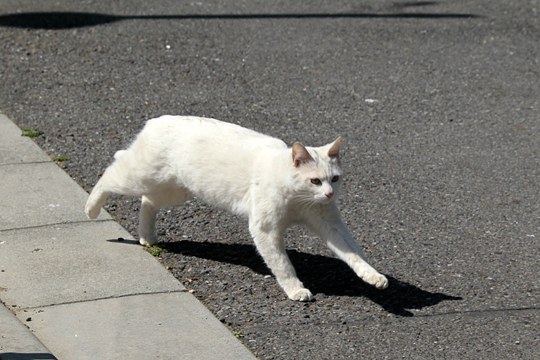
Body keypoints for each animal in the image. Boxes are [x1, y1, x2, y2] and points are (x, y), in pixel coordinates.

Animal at [85, 116, 388, 300]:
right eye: (315, 180)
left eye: (335, 178)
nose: (329, 194)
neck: (299, 198)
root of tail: (157, 120)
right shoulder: (265, 229)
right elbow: (282, 265)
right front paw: (295, 289)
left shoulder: (330, 224)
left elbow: (353, 254)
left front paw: (373, 276)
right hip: (140, 176)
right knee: (110, 175)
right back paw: (91, 209)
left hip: (174, 191)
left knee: (147, 202)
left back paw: (147, 237)